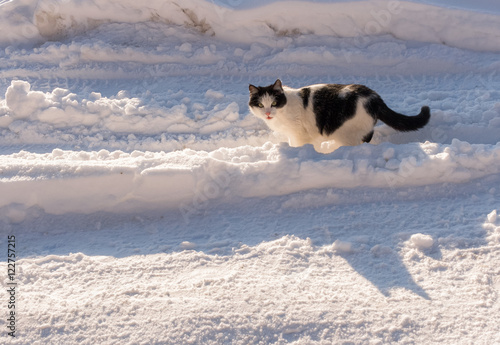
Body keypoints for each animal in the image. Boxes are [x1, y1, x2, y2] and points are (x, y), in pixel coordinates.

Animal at [249, 80, 430, 153]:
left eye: (274, 103)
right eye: (260, 105)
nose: (267, 113)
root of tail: (375, 98)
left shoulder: (300, 134)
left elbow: (298, 145)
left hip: (344, 132)